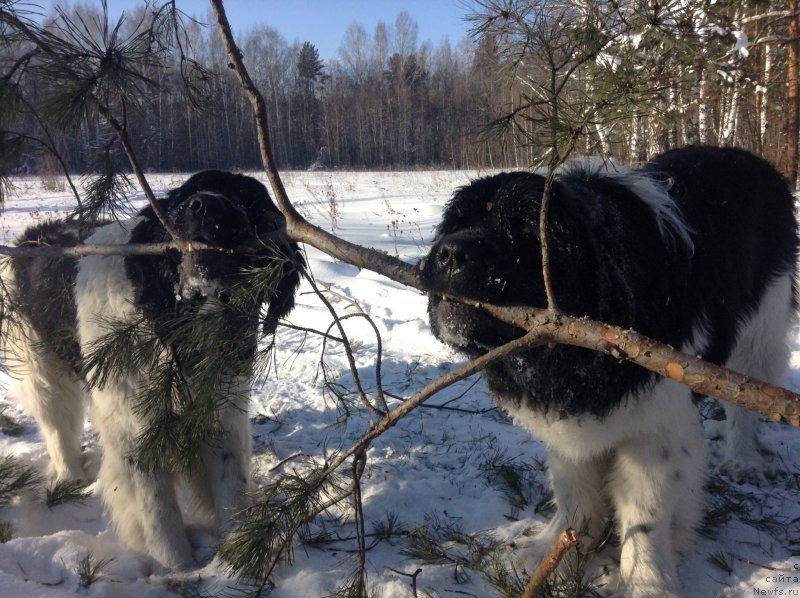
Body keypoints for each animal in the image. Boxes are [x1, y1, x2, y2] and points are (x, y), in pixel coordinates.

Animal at [2, 172, 304, 572]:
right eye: (187, 193)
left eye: (248, 198)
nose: (204, 205)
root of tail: (28, 238)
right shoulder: (136, 426)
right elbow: (156, 509)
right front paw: (177, 567)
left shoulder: (222, 413)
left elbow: (231, 490)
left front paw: (234, 557)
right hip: (42, 367)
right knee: (57, 426)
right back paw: (70, 479)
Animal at [418, 146, 800, 598]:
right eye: (458, 222)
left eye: (527, 230)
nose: (450, 253)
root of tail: (749, 157)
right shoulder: (569, 420)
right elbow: (573, 488)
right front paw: (553, 552)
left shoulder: (656, 421)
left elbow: (645, 512)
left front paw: (647, 582)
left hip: (762, 324)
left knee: (745, 396)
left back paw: (743, 459)